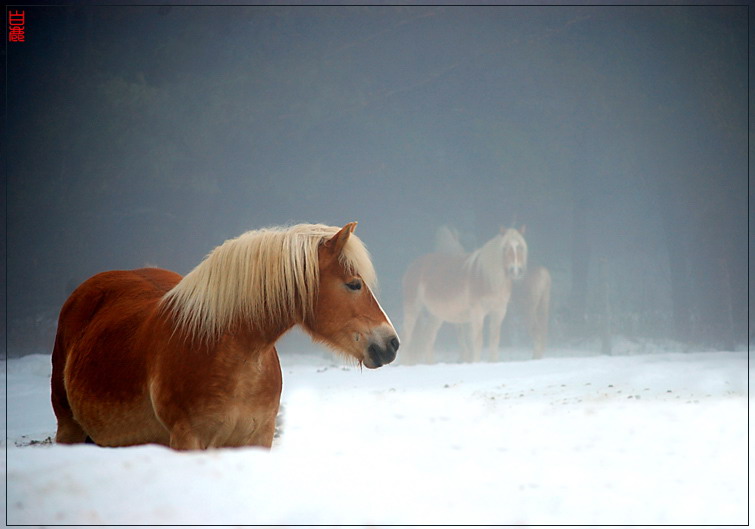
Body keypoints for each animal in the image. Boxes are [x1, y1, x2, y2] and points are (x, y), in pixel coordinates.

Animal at [402, 227, 524, 364]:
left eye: (520, 247)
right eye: (505, 247)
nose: (515, 270)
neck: (487, 278)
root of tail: (413, 266)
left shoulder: (499, 312)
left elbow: (494, 341)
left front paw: (493, 362)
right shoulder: (477, 311)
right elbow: (477, 340)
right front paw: (475, 362)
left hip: (436, 314)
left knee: (428, 337)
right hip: (413, 307)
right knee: (406, 336)